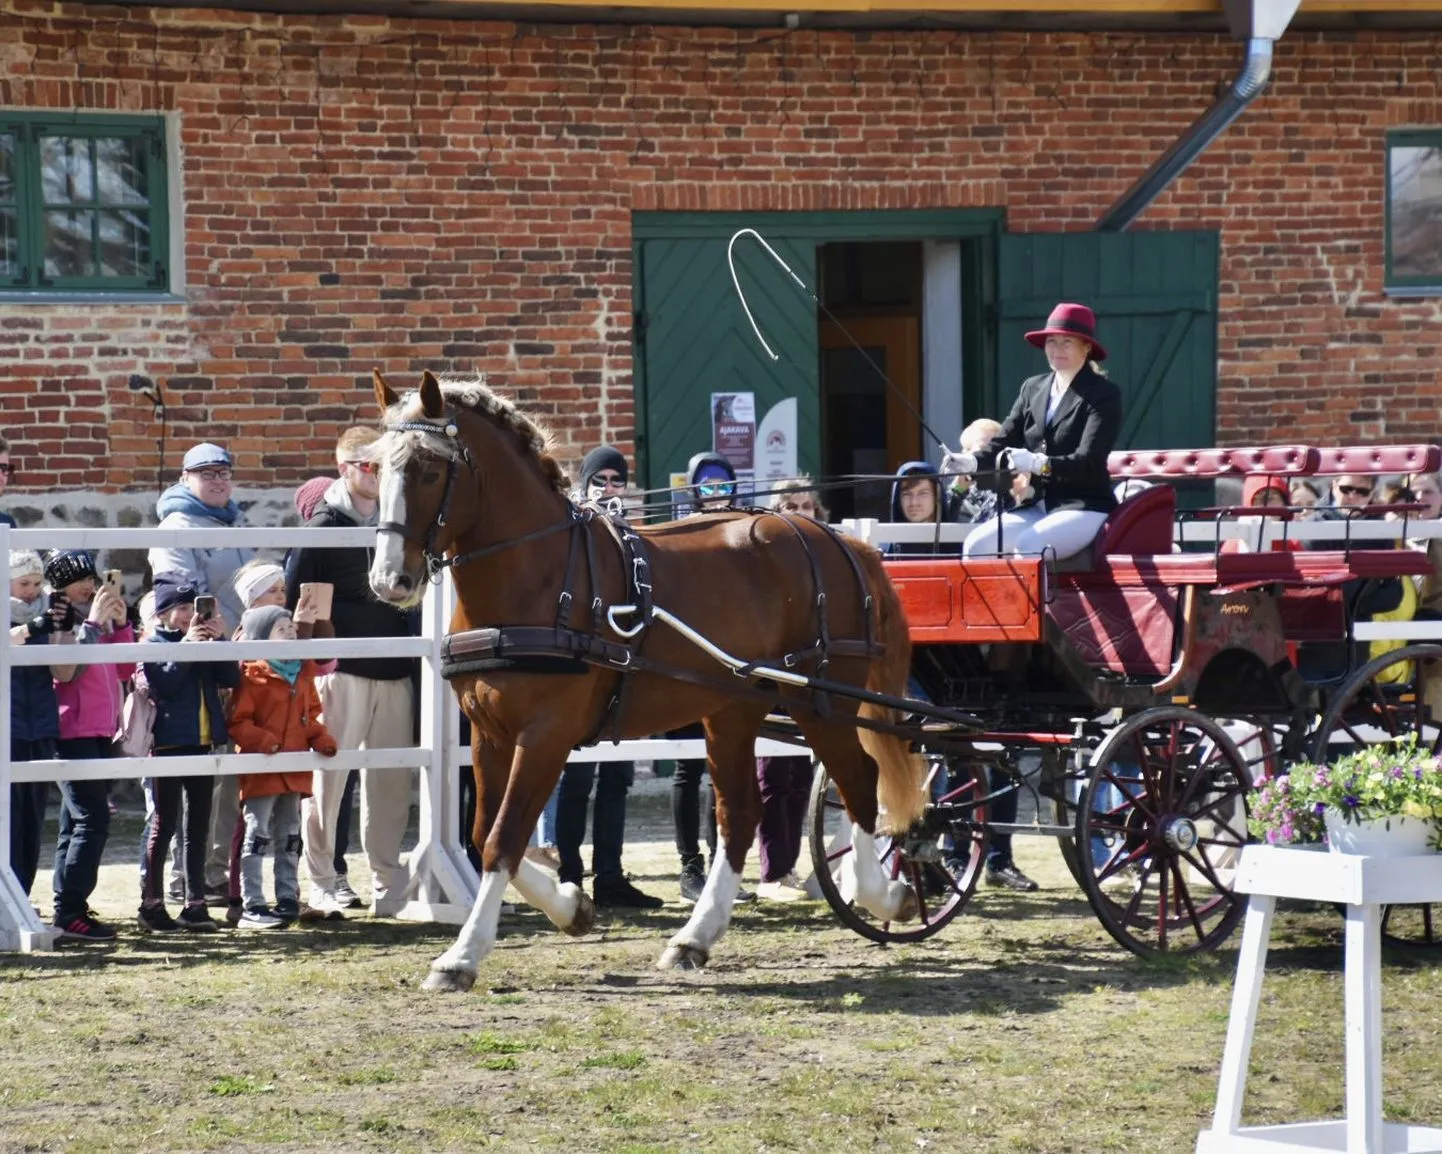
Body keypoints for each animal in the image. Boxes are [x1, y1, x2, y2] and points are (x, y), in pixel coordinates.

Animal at [369, 372, 922, 992]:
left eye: (428, 470)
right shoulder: (490, 734)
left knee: (860, 781)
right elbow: (486, 831)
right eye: (377, 467)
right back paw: (694, 938)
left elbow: (503, 837)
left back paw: (884, 894)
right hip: (734, 709)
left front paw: (461, 957)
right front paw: (572, 906)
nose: (390, 580)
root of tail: (835, 537)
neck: (537, 575)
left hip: (819, 698)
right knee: (740, 816)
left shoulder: (545, 734)